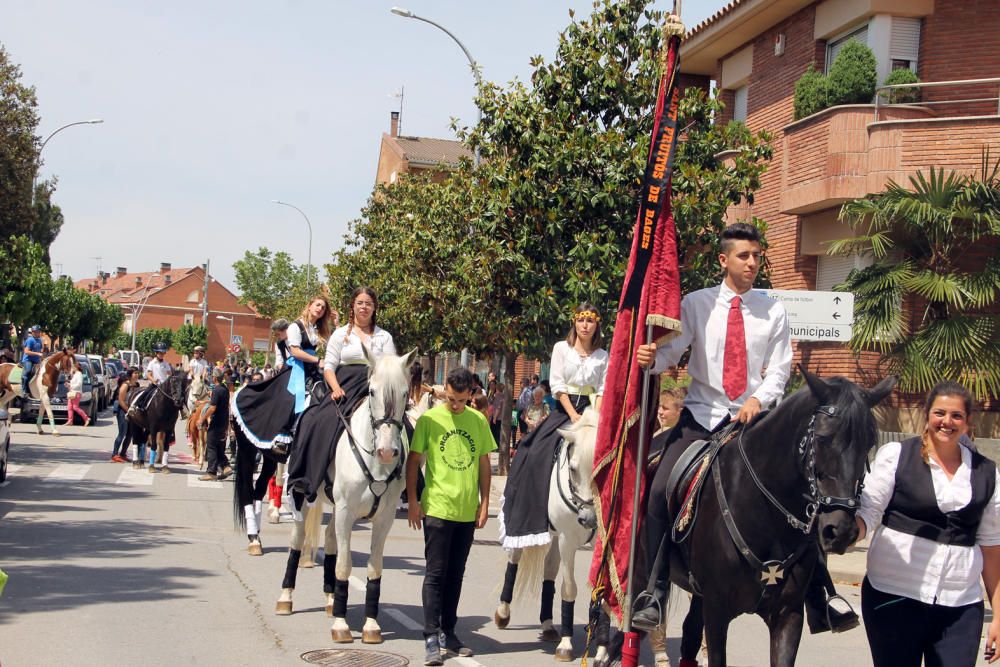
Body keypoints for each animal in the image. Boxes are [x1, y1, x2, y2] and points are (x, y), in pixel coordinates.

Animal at [274, 348, 414, 644]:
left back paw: (330, 600)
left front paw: (371, 625)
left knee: (329, 541)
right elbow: (344, 565)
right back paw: (286, 598)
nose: (387, 452)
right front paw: (341, 624)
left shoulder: (383, 518)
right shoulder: (346, 511)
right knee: (297, 540)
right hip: (304, 496)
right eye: (371, 391)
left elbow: (373, 567)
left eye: (406, 392)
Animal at [492, 408, 600, 664]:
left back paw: (549, 624)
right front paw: (566, 646)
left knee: (549, 569)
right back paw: (503, 614)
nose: (589, 519)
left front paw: (603, 648)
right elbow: (569, 588)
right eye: (573, 469)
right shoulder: (568, 539)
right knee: (514, 561)